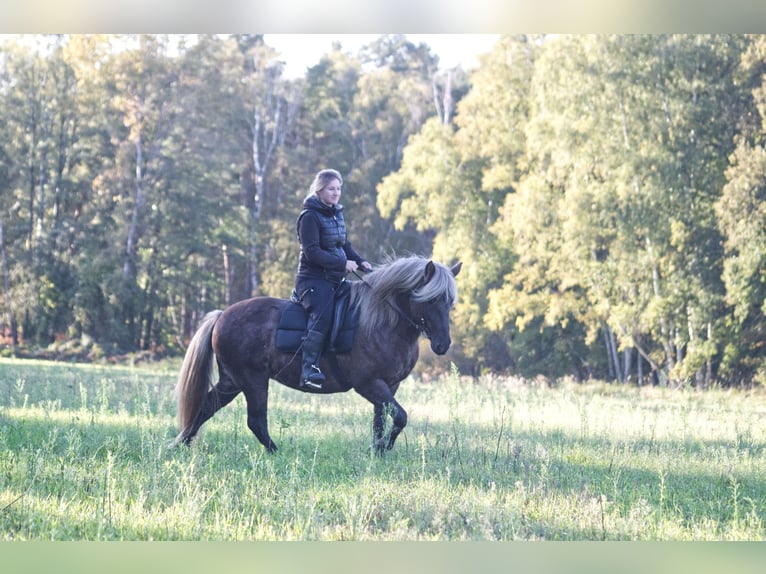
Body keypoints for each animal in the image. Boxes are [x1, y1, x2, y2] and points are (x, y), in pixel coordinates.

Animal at [174, 258, 462, 456]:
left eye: (449, 302)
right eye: (431, 300)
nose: (442, 345)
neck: (381, 322)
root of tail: (222, 315)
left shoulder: (388, 385)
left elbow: (379, 421)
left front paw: (377, 451)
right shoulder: (368, 384)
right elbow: (400, 417)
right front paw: (384, 448)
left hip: (232, 381)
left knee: (205, 408)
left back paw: (179, 444)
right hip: (253, 381)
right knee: (255, 421)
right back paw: (276, 453)